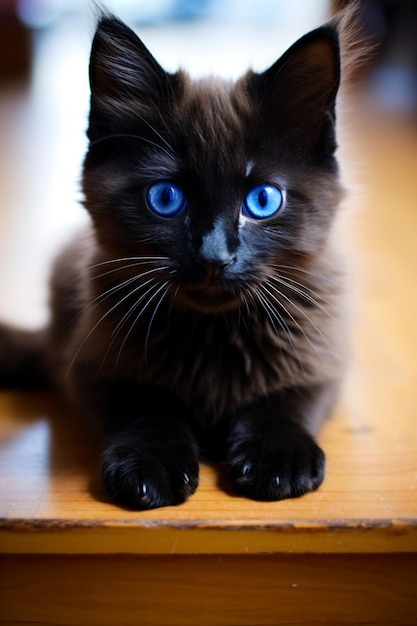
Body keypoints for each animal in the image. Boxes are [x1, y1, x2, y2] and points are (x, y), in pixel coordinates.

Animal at [0, 7, 358, 508]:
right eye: (166, 198)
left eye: (263, 200)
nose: (214, 256)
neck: (214, 337)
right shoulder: (93, 361)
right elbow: (148, 406)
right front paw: (152, 464)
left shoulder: (318, 355)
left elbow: (285, 400)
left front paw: (277, 456)